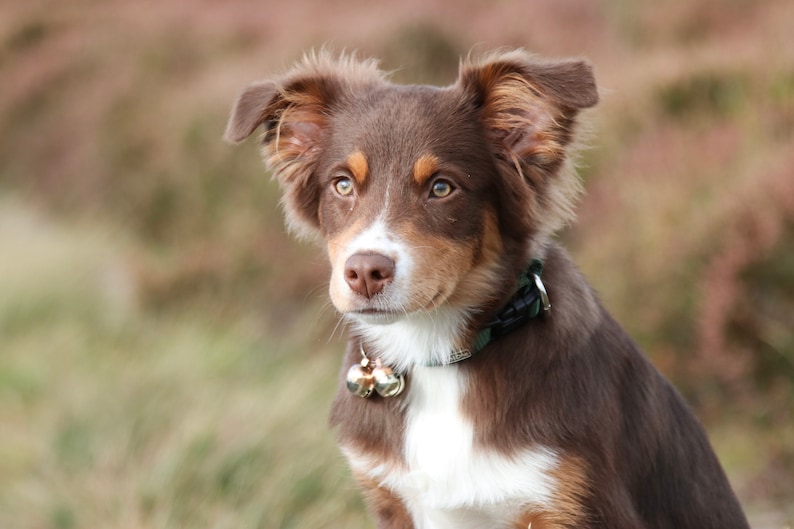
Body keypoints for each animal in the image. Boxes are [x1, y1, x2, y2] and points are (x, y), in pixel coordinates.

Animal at [224, 49, 748, 528]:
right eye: (342, 185)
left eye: (442, 188)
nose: (365, 272)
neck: (436, 354)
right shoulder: (393, 501)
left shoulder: (578, 503)